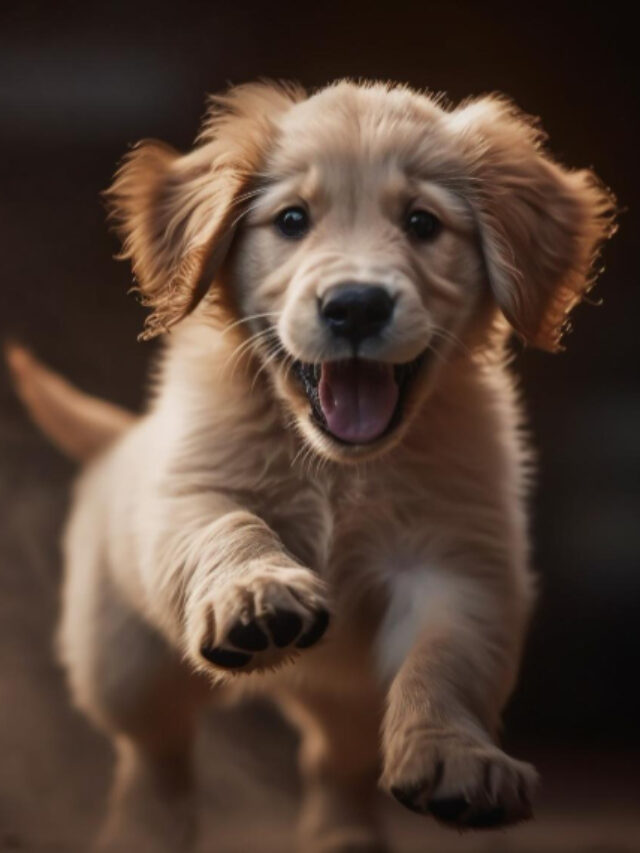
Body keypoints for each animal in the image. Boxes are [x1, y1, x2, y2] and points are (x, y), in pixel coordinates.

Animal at [5, 81, 616, 852]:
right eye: (292, 220)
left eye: (422, 223)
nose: (355, 305)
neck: (339, 468)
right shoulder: (185, 492)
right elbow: (227, 525)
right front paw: (254, 591)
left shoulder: (458, 562)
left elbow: (445, 659)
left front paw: (456, 753)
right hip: (122, 662)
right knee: (155, 752)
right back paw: (145, 829)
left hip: (345, 698)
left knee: (333, 762)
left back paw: (345, 834)